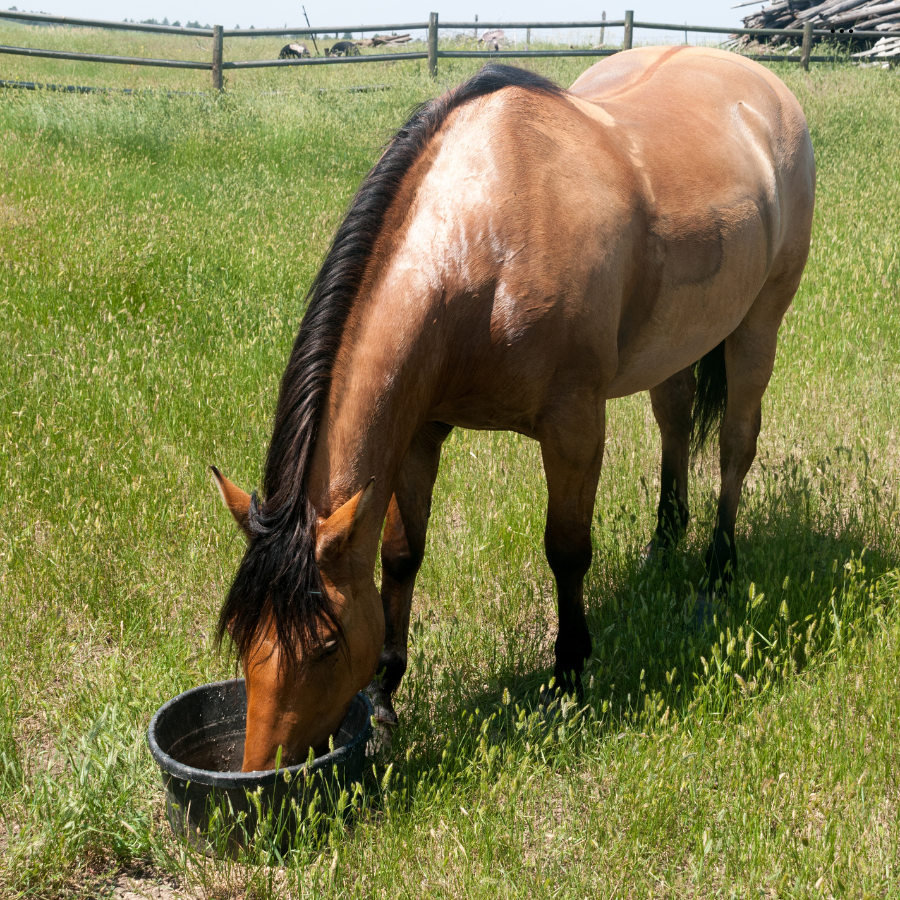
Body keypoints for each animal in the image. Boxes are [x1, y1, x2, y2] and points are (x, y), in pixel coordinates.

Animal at [211, 48, 815, 772]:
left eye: (326, 645)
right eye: (243, 637)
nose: (260, 775)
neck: (483, 240)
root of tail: (763, 84)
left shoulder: (574, 426)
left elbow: (567, 550)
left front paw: (570, 677)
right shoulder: (421, 431)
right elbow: (402, 554)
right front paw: (386, 697)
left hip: (760, 324)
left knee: (735, 445)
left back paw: (718, 571)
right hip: (674, 345)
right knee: (675, 422)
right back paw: (663, 546)